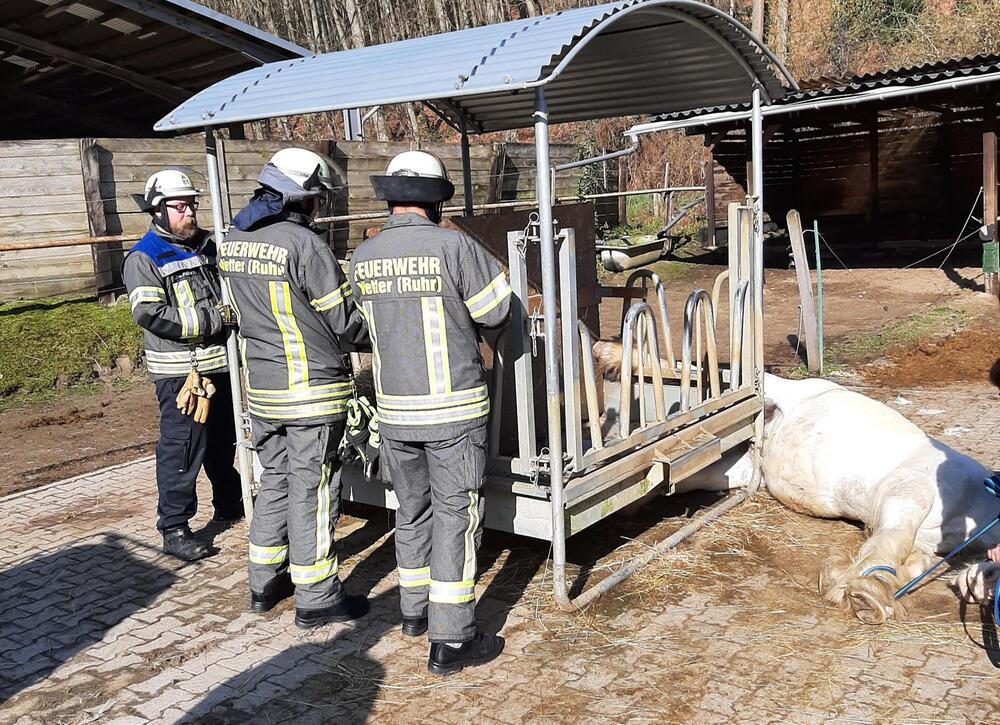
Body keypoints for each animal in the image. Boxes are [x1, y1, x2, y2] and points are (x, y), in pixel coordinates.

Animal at [704, 374, 1000, 624]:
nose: (975, 585)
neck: (974, 499)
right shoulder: (909, 490)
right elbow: (893, 540)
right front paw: (864, 593)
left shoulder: (925, 541)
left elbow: (915, 563)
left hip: (736, 470)